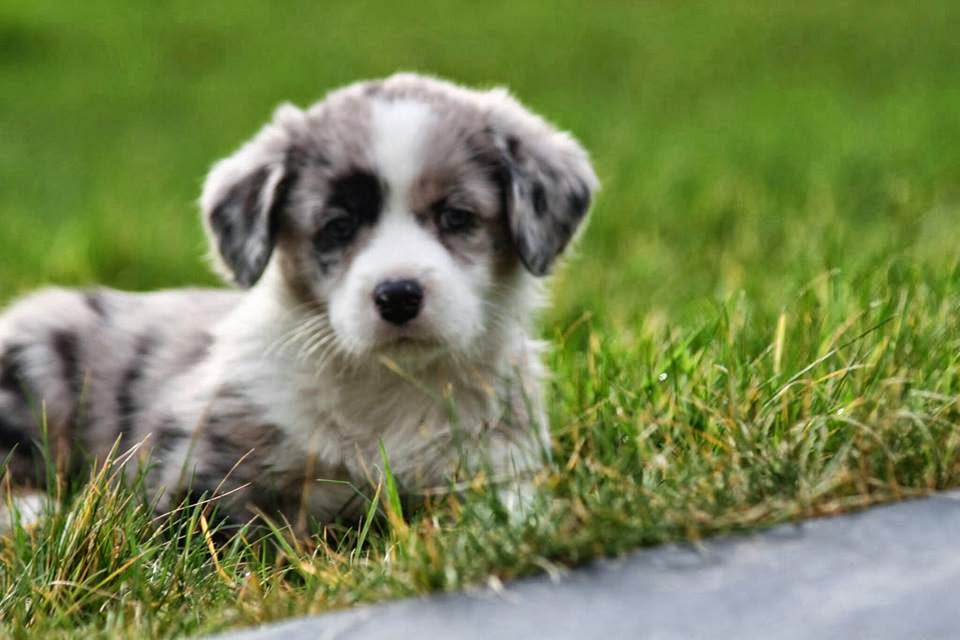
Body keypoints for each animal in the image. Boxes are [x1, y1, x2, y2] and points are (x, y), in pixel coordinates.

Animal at [0, 73, 598, 529]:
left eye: (457, 217)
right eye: (337, 226)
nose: (398, 296)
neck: (388, 386)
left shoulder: (497, 463)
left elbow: (511, 512)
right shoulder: (194, 468)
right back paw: (34, 514)